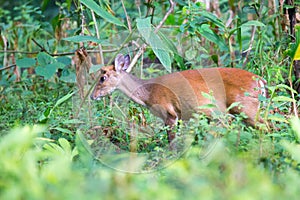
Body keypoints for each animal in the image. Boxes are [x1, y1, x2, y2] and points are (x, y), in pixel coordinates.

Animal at [91, 54, 268, 143]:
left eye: (102, 78)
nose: (93, 96)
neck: (148, 93)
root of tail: (261, 80)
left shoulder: (169, 112)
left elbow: (171, 141)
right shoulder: (180, 115)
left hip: (245, 107)